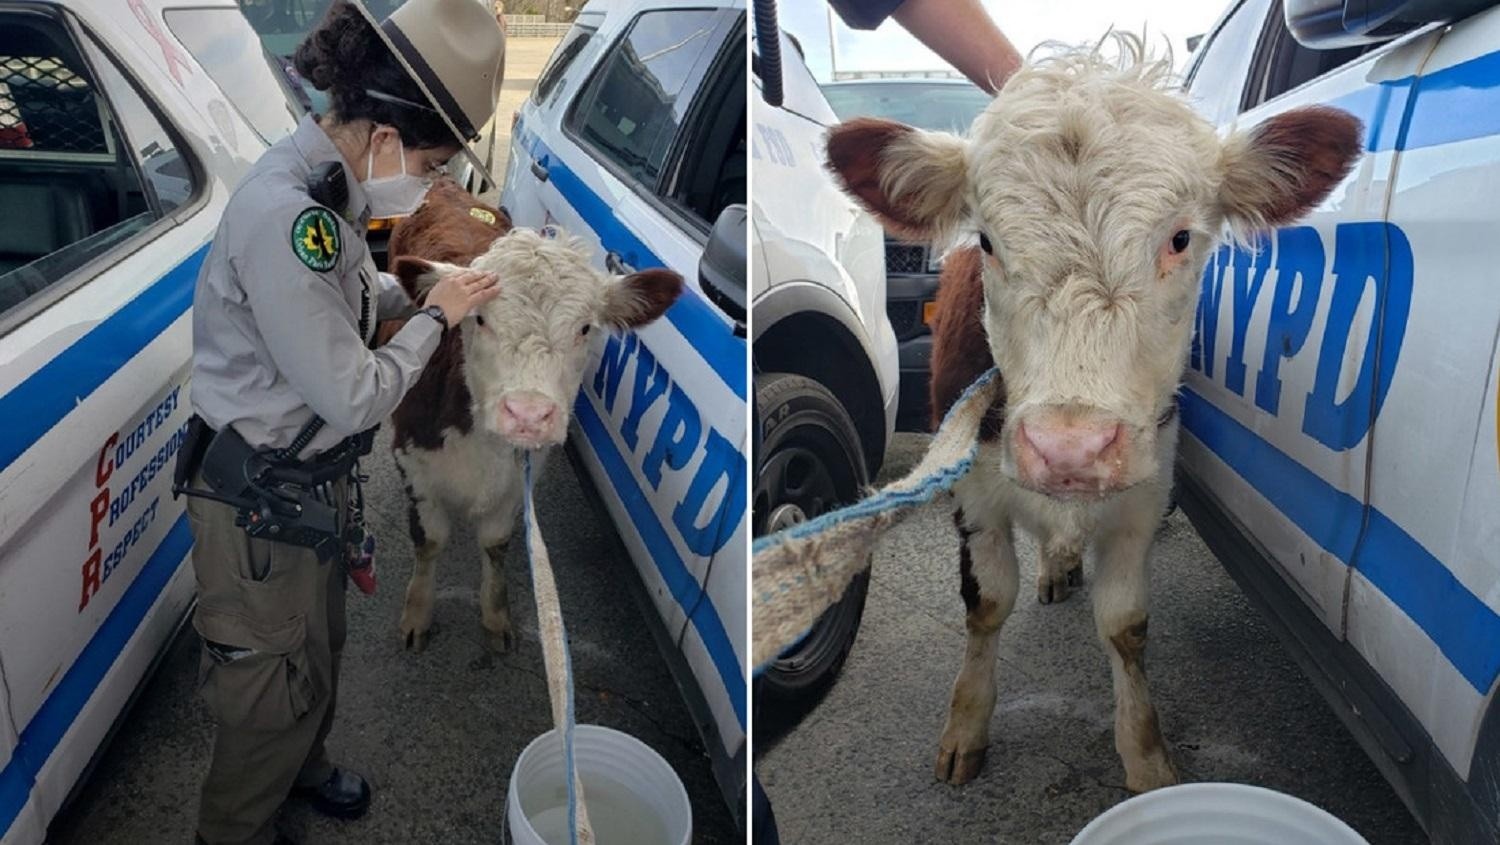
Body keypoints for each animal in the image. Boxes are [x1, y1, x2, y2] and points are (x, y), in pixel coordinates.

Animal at [384, 181, 684, 651]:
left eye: (585, 328)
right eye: (479, 319)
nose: (528, 414)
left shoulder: (521, 476)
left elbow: (496, 543)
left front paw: (495, 616)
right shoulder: (414, 465)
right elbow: (429, 542)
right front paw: (417, 613)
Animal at [828, 36, 1368, 792]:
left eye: (1180, 238)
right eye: (987, 241)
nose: (1069, 449)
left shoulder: (1144, 491)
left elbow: (1126, 625)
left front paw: (1145, 755)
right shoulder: (974, 494)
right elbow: (986, 604)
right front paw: (966, 726)